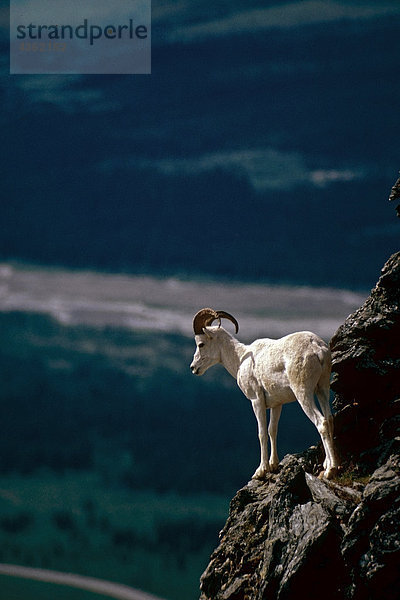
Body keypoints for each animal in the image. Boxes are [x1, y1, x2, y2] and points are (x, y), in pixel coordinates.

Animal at [190, 308, 338, 480]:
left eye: (201, 344)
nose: (193, 368)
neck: (240, 359)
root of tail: (317, 349)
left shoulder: (256, 401)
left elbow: (261, 433)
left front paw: (261, 471)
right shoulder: (277, 404)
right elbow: (272, 430)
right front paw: (273, 465)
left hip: (303, 393)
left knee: (321, 422)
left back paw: (330, 470)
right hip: (322, 389)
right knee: (329, 419)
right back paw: (328, 464)